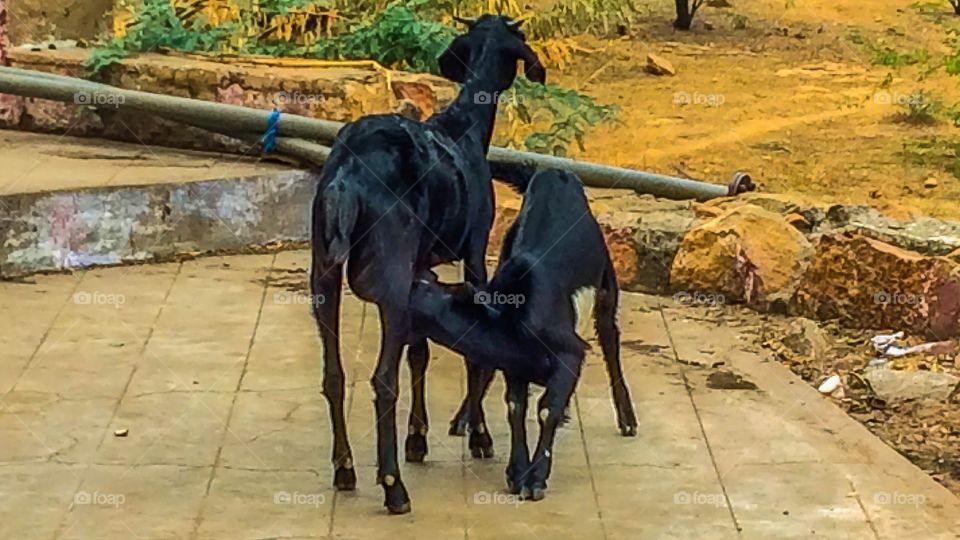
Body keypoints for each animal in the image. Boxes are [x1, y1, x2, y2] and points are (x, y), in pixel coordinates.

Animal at [310, 15, 544, 516]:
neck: (464, 127)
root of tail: (346, 178)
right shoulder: (474, 254)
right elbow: (474, 349)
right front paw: (478, 436)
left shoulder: (420, 269)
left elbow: (419, 352)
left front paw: (418, 437)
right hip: (391, 279)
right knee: (382, 380)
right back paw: (393, 486)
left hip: (323, 272)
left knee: (334, 375)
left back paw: (345, 469)